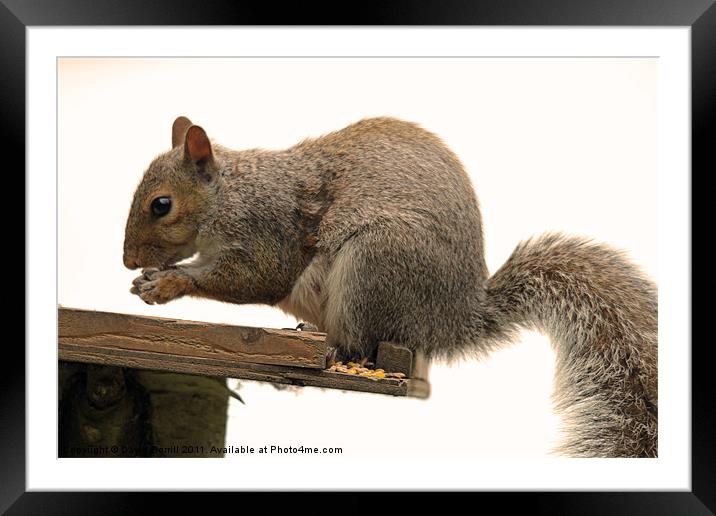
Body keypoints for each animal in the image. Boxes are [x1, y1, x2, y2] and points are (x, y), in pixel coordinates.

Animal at [124, 116, 660, 456]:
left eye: (161, 205)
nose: (128, 259)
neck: (229, 194)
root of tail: (451, 320)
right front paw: (148, 278)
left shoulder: (269, 231)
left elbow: (255, 277)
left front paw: (168, 282)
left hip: (374, 264)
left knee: (359, 343)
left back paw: (332, 353)